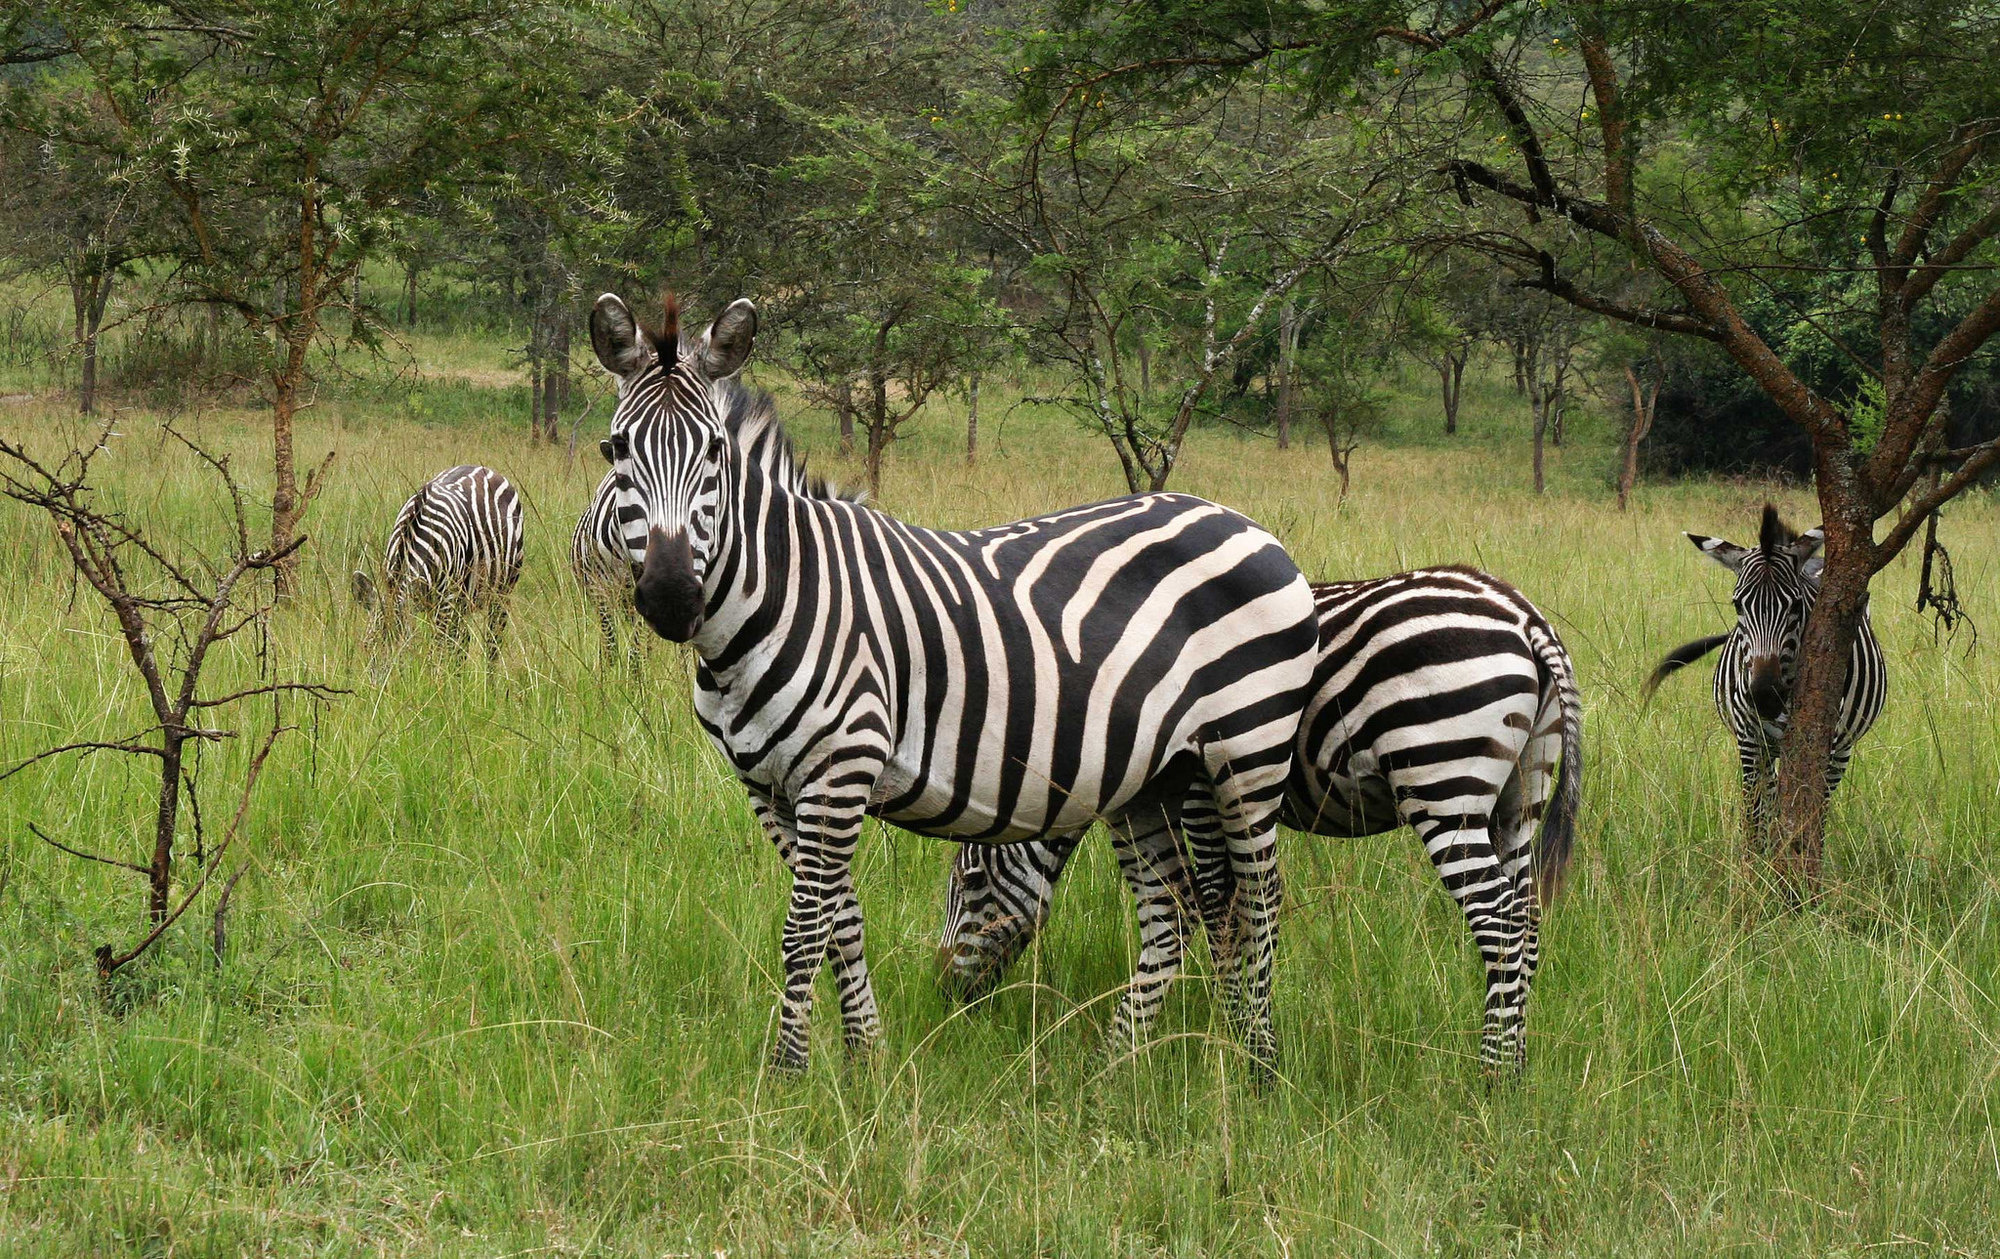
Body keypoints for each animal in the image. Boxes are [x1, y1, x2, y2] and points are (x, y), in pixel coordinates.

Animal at [352, 463, 524, 659]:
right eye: (366, 646)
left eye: (402, 653)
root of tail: (484, 468)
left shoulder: (446, 601)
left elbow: (439, 649)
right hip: (462, 602)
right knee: (463, 641)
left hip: (502, 590)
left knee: (493, 640)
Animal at [584, 293, 1320, 1079]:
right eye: (616, 449)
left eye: (716, 454)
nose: (669, 598)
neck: (776, 598)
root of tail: (1246, 524)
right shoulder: (768, 787)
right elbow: (841, 920)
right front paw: (865, 1056)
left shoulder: (841, 768)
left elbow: (804, 930)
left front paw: (786, 1074)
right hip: (1156, 775)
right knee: (1176, 909)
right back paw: (1118, 1068)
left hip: (1247, 751)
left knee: (1259, 901)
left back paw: (1257, 1068)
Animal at [944, 571, 1584, 1079]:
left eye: (969, 885)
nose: (947, 999)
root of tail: (1526, 617)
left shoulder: (1201, 791)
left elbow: (1219, 906)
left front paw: (1232, 1036)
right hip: (1520, 795)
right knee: (1527, 919)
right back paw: (1517, 1064)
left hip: (1444, 782)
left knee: (1498, 919)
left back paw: (1492, 1078)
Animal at [1640, 505, 1872, 847]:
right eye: (1738, 605)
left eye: (1797, 605)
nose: (1764, 696)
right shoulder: (1749, 737)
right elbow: (1752, 812)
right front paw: (1753, 861)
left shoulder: (1823, 739)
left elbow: (1807, 808)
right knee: (1772, 796)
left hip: (1840, 747)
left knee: (1815, 801)